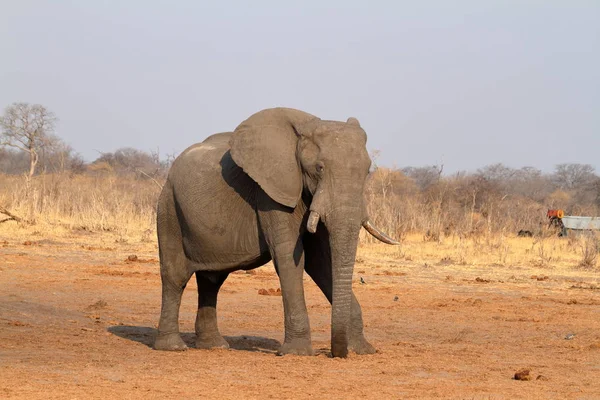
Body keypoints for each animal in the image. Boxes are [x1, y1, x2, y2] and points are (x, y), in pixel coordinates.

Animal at [155, 106, 398, 356]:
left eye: (367, 171)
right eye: (319, 168)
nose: (333, 353)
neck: (307, 126)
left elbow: (321, 261)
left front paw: (364, 350)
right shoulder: (272, 192)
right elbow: (291, 257)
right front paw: (297, 353)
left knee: (212, 279)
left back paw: (214, 345)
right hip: (169, 209)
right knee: (175, 276)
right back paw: (173, 347)